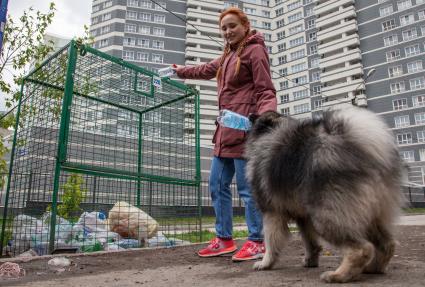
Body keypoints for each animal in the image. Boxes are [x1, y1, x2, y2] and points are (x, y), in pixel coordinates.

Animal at [245, 107, 400, 284]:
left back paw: (338, 275)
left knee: (361, 249)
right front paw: (310, 261)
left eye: (258, 116)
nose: (250, 114)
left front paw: (265, 263)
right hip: (369, 215)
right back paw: (373, 268)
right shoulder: (303, 216)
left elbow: (271, 241)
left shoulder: (272, 212)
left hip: (326, 216)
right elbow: (310, 242)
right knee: (387, 244)